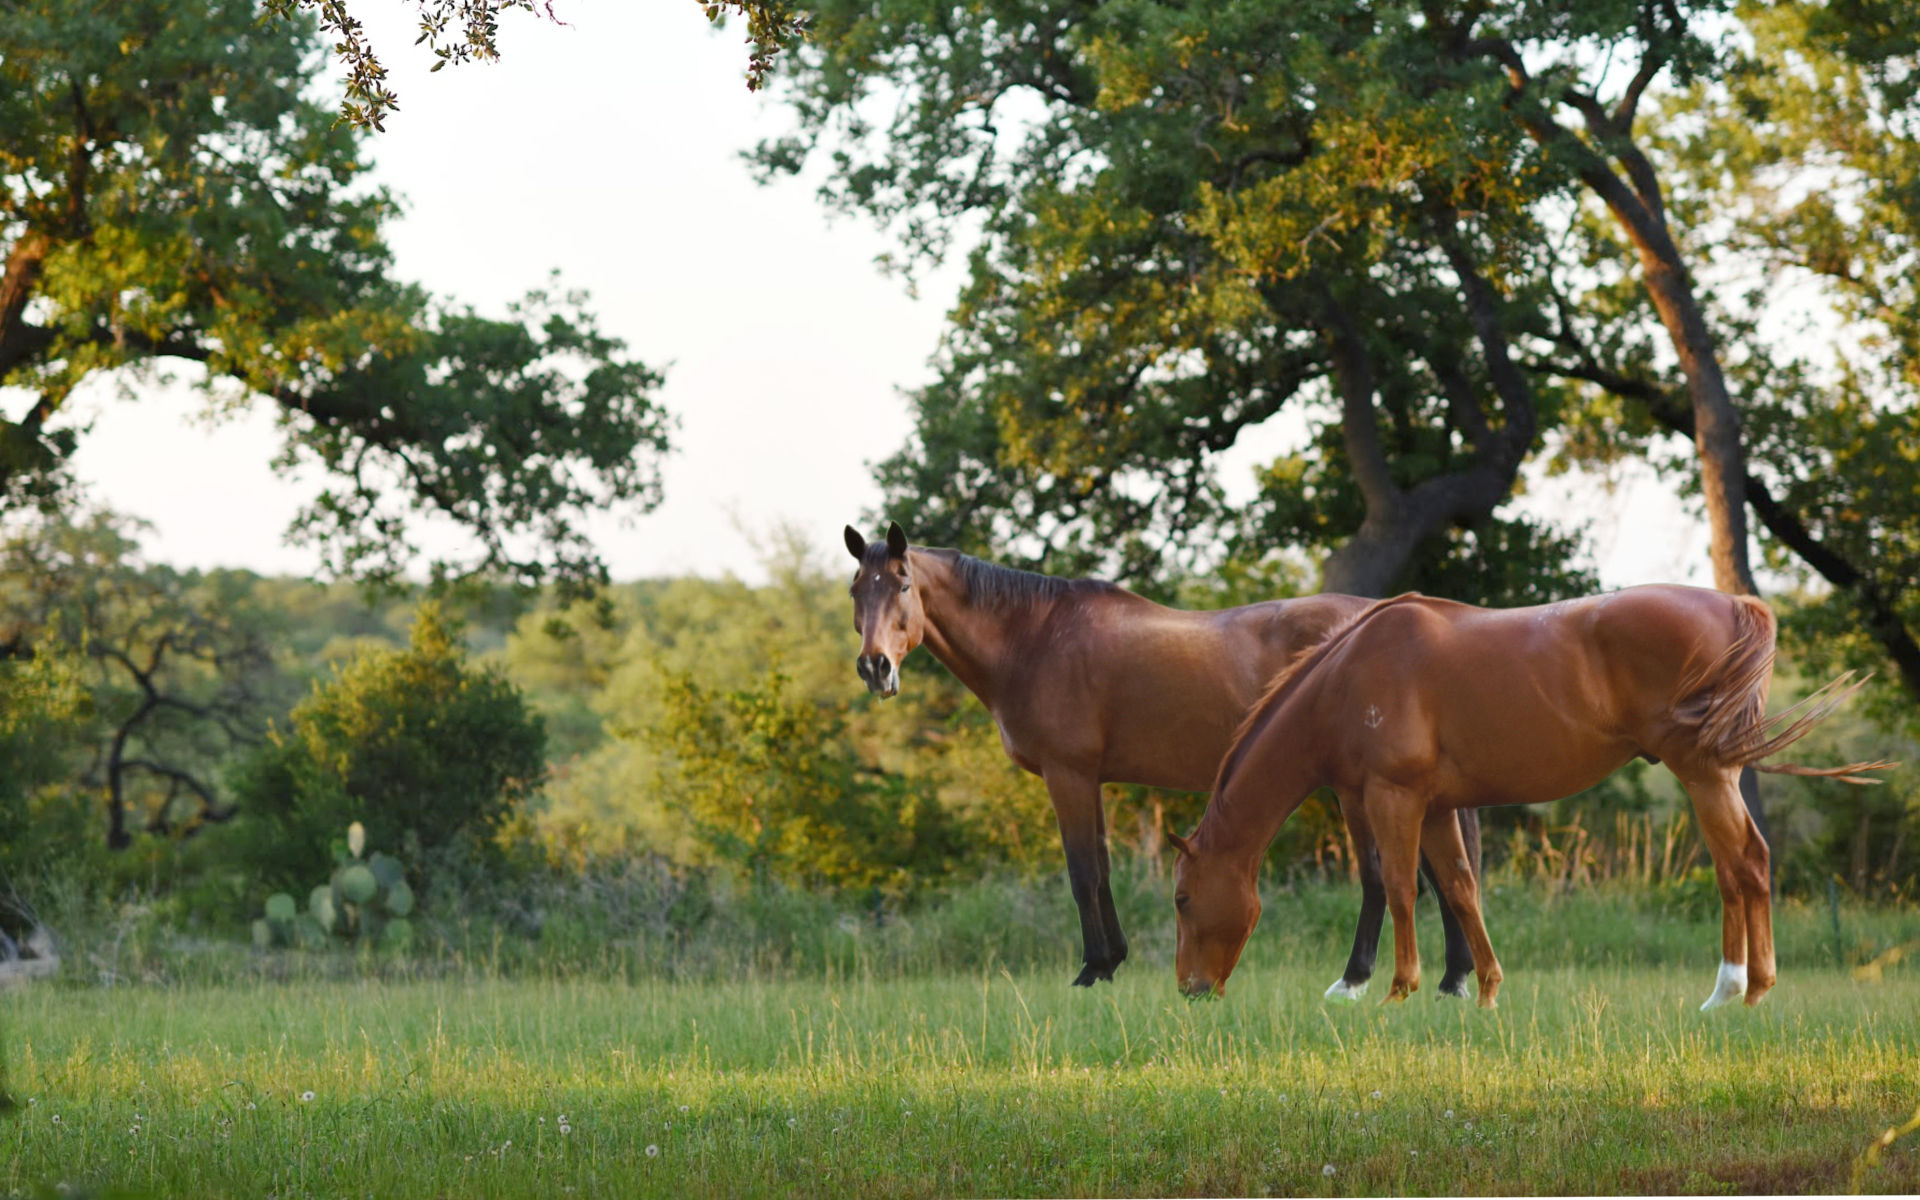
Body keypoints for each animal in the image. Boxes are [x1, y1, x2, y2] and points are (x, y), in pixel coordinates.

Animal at [846, 520, 1486, 992]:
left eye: (902, 585)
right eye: (856, 590)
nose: (875, 667)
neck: (1036, 639)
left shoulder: (1067, 774)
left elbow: (1082, 872)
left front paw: (1090, 971)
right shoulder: (1090, 779)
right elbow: (1101, 868)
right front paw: (1111, 962)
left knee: (1391, 873)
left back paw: (1369, 978)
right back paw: (1454, 976)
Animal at [1168, 585, 1892, 1009]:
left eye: (1181, 899)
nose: (1190, 990)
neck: (1348, 677)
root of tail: (1740, 605)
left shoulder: (1393, 798)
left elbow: (1399, 888)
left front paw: (1397, 991)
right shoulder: (1435, 806)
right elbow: (1461, 889)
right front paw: (1483, 992)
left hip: (1704, 773)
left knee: (1742, 864)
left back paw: (1741, 990)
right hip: (1720, 774)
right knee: (1742, 866)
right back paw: (1739, 989)